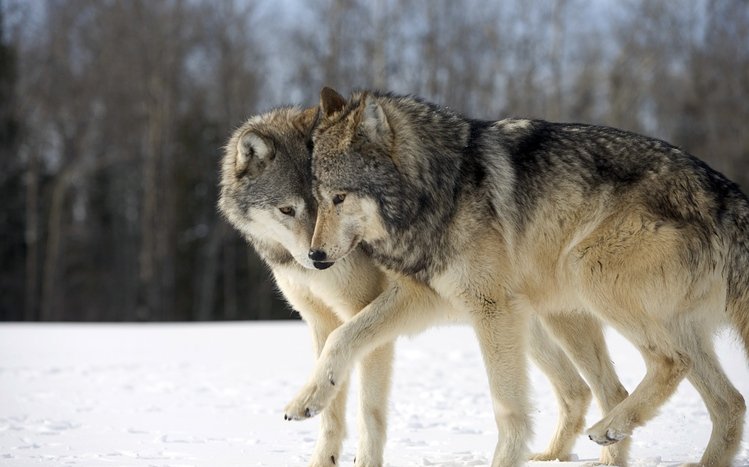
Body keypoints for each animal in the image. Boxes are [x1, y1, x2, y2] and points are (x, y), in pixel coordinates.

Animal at [219, 107, 631, 466]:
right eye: (287, 210)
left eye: (332, 203)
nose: (318, 258)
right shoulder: (321, 321)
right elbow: (331, 409)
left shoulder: (374, 313)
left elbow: (366, 407)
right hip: (525, 325)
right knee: (578, 390)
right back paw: (553, 456)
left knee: (596, 388)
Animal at [284, 87, 749, 467]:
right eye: (317, 199)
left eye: (339, 198)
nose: (315, 257)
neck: (441, 189)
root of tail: (725, 192)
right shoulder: (425, 297)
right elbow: (342, 335)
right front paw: (307, 399)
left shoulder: (492, 308)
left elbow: (507, 407)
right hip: (573, 314)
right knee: (726, 401)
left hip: (586, 273)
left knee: (670, 364)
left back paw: (610, 427)